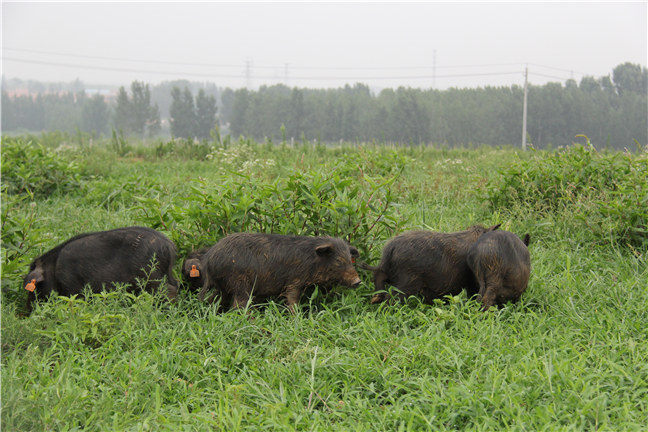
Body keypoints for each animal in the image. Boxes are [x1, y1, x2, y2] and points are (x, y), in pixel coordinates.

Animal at [22, 226, 178, 314]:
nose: (27, 311)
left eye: (36, 287)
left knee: (168, 291)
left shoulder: (74, 289)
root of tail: (169, 245)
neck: (53, 269)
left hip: (151, 277)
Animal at [197, 235, 362, 312]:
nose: (358, 281)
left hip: (222, 286)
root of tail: (209, 258)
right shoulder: (294, 281)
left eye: (350, 259)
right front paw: (296, 316)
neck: (312, 262)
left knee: (215, 299)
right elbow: (292, 299)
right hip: (239, 282)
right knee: (239, 305)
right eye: (339, 261)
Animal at [364, 224, 502, 306]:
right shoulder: (473, 281)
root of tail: (390, 249)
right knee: (391, 297)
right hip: (407, 282)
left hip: (384, 273)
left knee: (379, 285)